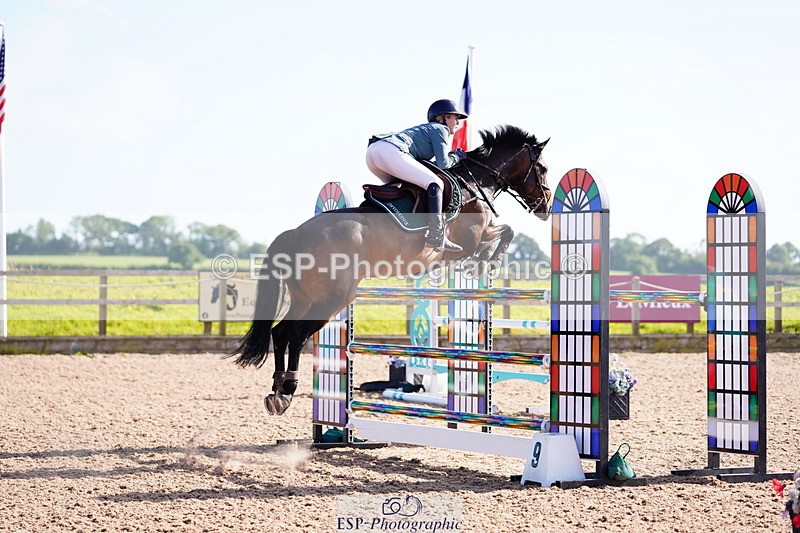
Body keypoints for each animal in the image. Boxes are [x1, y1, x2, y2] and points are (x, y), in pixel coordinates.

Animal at [231, 125, 552, 415]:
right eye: (543, 168)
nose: (546, 206)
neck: (476, 183)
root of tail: (296, 233)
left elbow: (505, 231)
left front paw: (484, 262)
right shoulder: (471, 238)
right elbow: (506, 231)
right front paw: (488, 260)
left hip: (304, 297)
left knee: (281, 332)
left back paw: (276, 391)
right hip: (332, 299)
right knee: (296, 334)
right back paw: (288, 389)